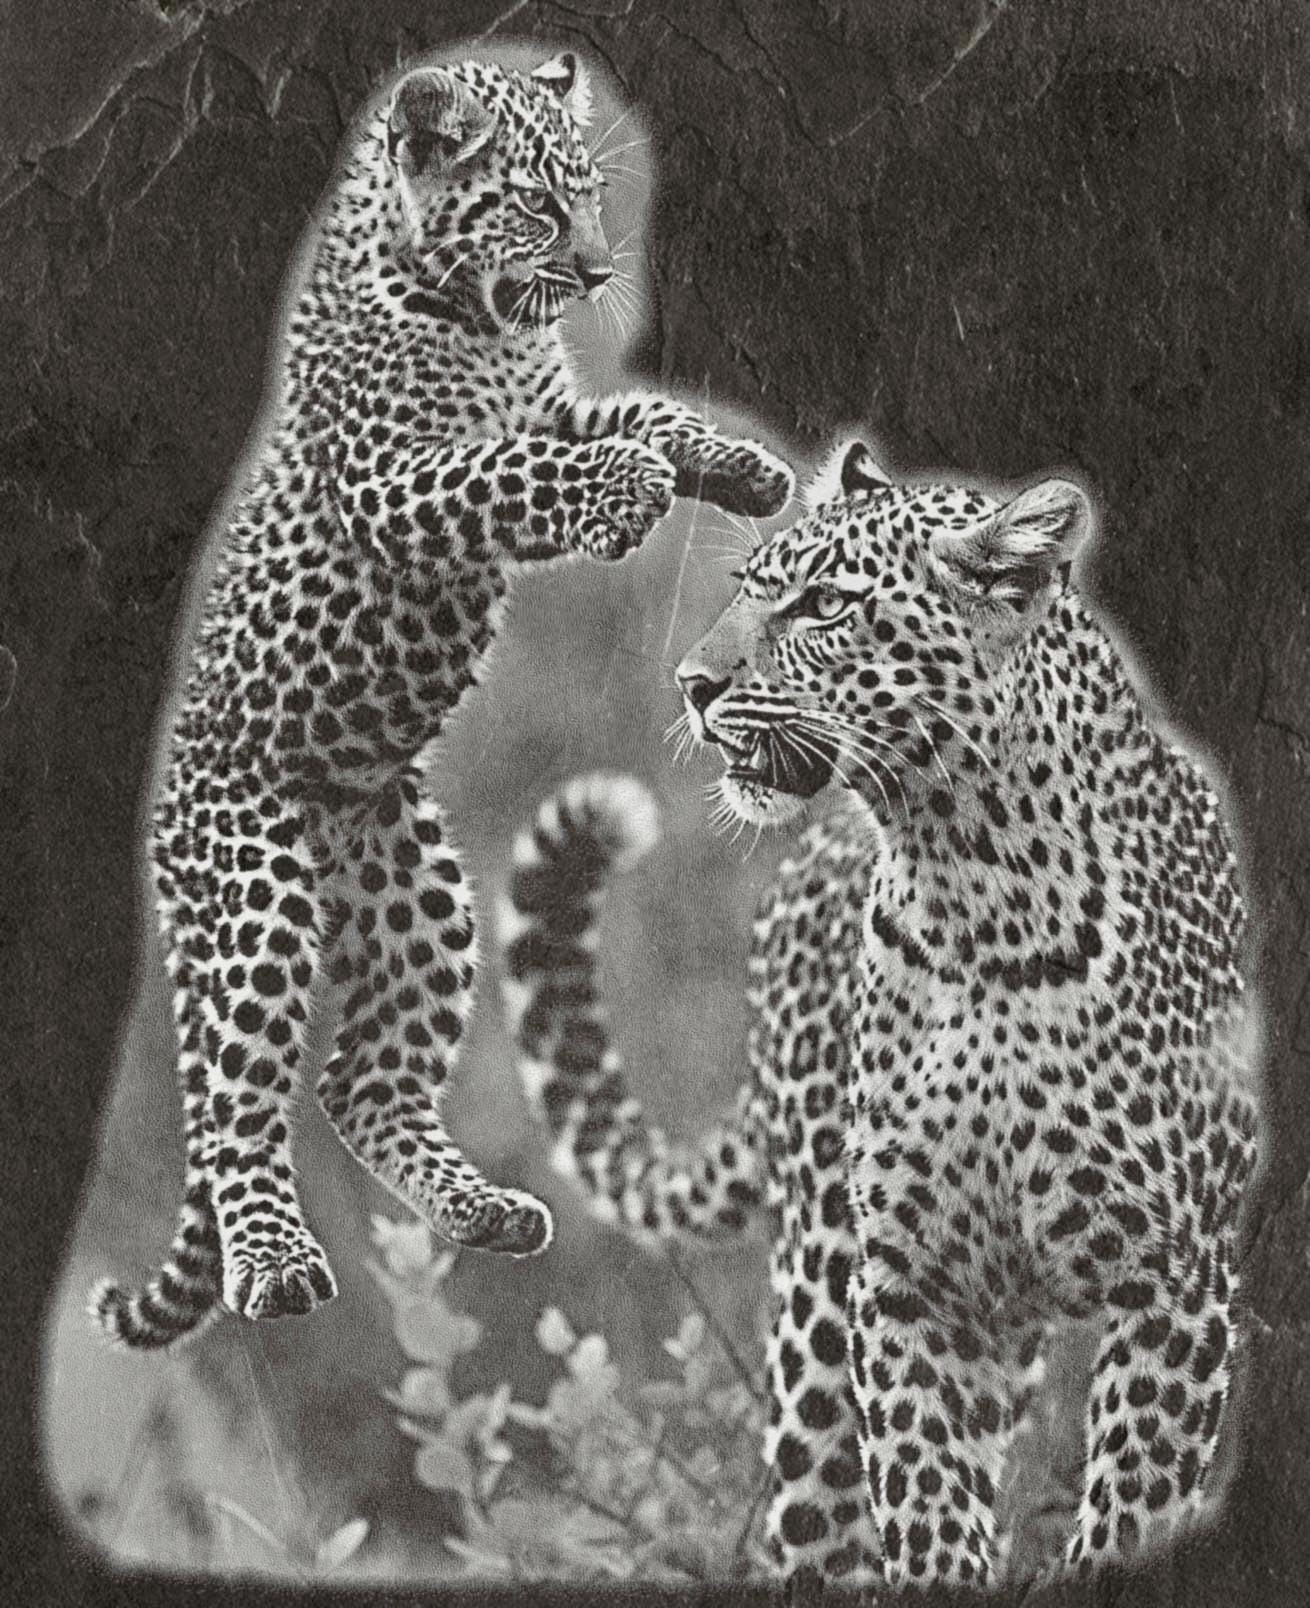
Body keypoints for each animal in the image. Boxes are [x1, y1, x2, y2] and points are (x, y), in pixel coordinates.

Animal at [89, 47, 791, 1350]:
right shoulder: (397, 478)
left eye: (590, 195)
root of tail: (167, 826)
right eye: (533, 205)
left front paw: (733, 465)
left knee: (356, 1082)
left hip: (414, 887)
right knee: (235, 1109)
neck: (466, 310)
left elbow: (636, 412)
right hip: (251, 889)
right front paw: (624, 488)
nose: (597, 271)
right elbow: (513, 471)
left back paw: (483, 1211)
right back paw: (275, 1266)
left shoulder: (550, 400)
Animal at [500, 440, 1262, 1588]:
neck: (974, 887)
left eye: (824, 605)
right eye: (746, 588)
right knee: (813, 1528)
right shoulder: (908, 1288)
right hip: (821, 1302)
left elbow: (1129, 1512)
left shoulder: (1170, 1282)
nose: (691, 685)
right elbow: (924, 1506)